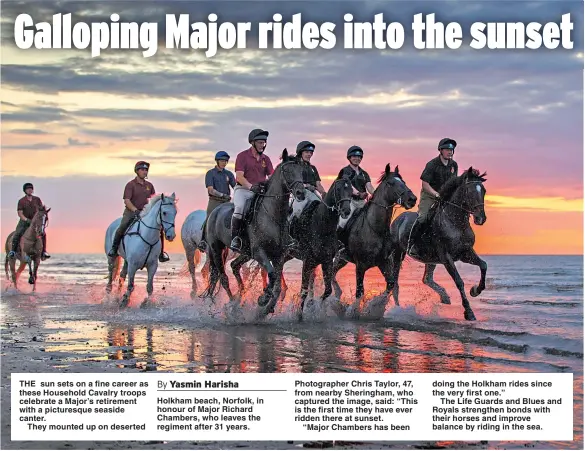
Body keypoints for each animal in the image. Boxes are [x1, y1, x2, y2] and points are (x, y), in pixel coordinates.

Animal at [201, 149, 304, 318]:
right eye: (287, 171)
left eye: (302, 171)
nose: (301, 193)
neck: (273, 216)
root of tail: (214, 211)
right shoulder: (259, 252)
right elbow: (271, 274)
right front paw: (264, 298)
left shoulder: (278, 255)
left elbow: (277, 286)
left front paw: (266, 308)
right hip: (216, 249)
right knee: (223, 277)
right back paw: (233, 304)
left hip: (245, 252)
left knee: (234, 266)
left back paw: (239, 298)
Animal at [330, 165, 418, 318]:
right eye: (391, 183)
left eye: (404, 182)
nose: (412, 199)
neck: (375, 229)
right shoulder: (360, 266)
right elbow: (360, 292)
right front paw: (352, 311)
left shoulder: (383, 263)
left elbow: (390, 285)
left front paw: (375, 306)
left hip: (342, 259)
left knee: (332, 274)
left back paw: (337, 298)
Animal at [388, 167, 488, 322]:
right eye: (469, 191)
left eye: (483, 191)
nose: (480, 218)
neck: (456, 223)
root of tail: (398, 219)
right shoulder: (446, 257)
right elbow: (459, 281)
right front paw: (469, 312)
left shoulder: (465, 253)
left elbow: (483, 265)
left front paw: (475, 290)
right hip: (397, 254)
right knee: (395, 284)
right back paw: (398, 310)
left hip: (430, 259)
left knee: (426, 279)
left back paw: (444, 296)